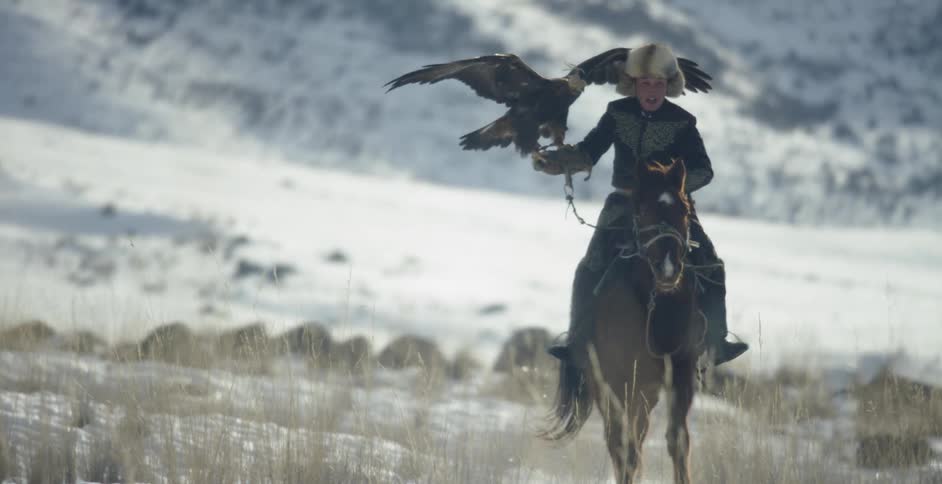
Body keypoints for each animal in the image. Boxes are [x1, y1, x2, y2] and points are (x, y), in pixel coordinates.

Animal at [543, 159, 707, 484]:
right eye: (641, 210)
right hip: (613, 389)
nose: (668, 268)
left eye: (684, 210)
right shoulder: (620, 384)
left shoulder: (680, 379)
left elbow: (678, 441)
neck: (655, 308)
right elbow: (625, 449)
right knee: (620, 443)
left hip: (645, 393)